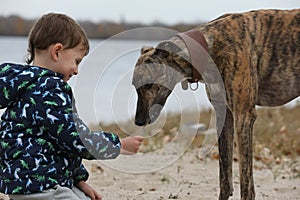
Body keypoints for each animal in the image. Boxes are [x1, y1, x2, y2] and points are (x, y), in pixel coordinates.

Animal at [132, 9, 300, 198]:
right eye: (134, 86)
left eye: (148, 84)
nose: (138, 121)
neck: (209, 46)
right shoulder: (224, 114)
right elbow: (225, 178)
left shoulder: (243, 116)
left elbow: (246, 184)